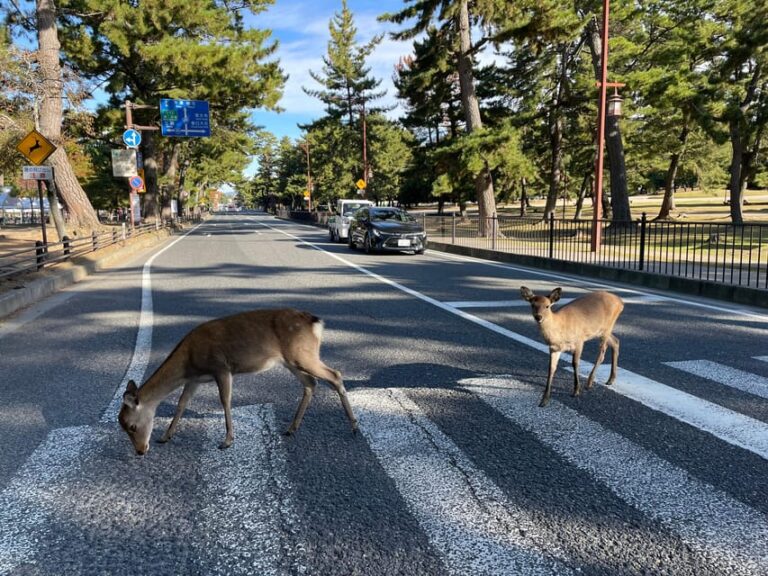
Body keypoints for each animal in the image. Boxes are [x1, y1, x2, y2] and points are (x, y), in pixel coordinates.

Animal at [118, 308, 358, 456]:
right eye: (123, 427)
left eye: (132, 426)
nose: (140, 451)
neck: (189, 361)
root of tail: (316, 323)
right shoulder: (195, 379)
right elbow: (181, 404)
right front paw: (165, 436)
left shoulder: (221, 367)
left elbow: (225, 401)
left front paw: (227, 441)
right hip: (291, 360)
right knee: (311, 383)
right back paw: (291, 428)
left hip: (303, 354)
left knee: (335, 375)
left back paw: (354, 427)